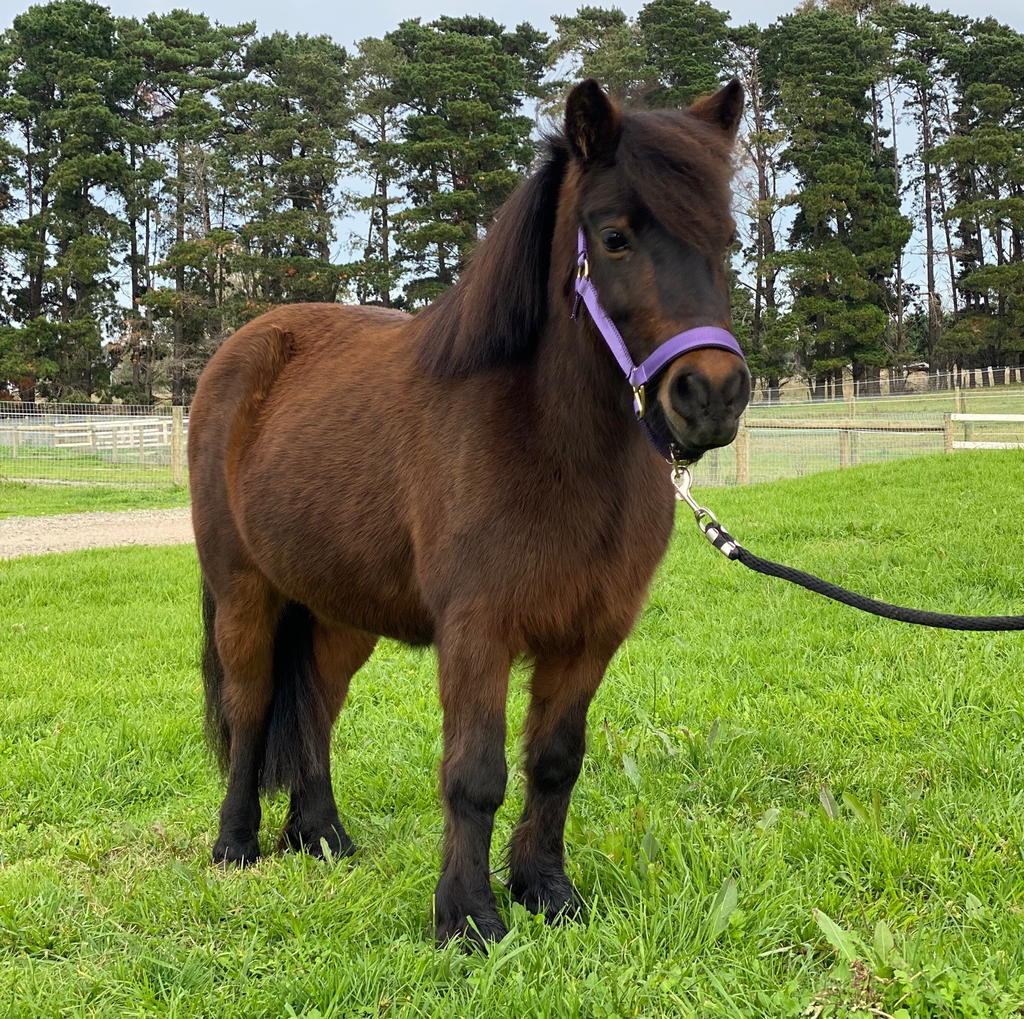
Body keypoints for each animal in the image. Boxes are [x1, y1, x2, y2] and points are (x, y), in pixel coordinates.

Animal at [188, 78, 750, 948]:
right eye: (615, 237)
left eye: (725, 237)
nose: (712, 394)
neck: (550, 442)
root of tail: (240, 352)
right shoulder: (477, 630)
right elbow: (473, 775)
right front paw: (469, 917)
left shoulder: (589, 634)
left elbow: (554, 761)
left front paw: (546, 890)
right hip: (245, 593)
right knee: (250, 708)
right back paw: (237, 843)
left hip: (339, 613)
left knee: (315, 706)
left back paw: (323, 836)